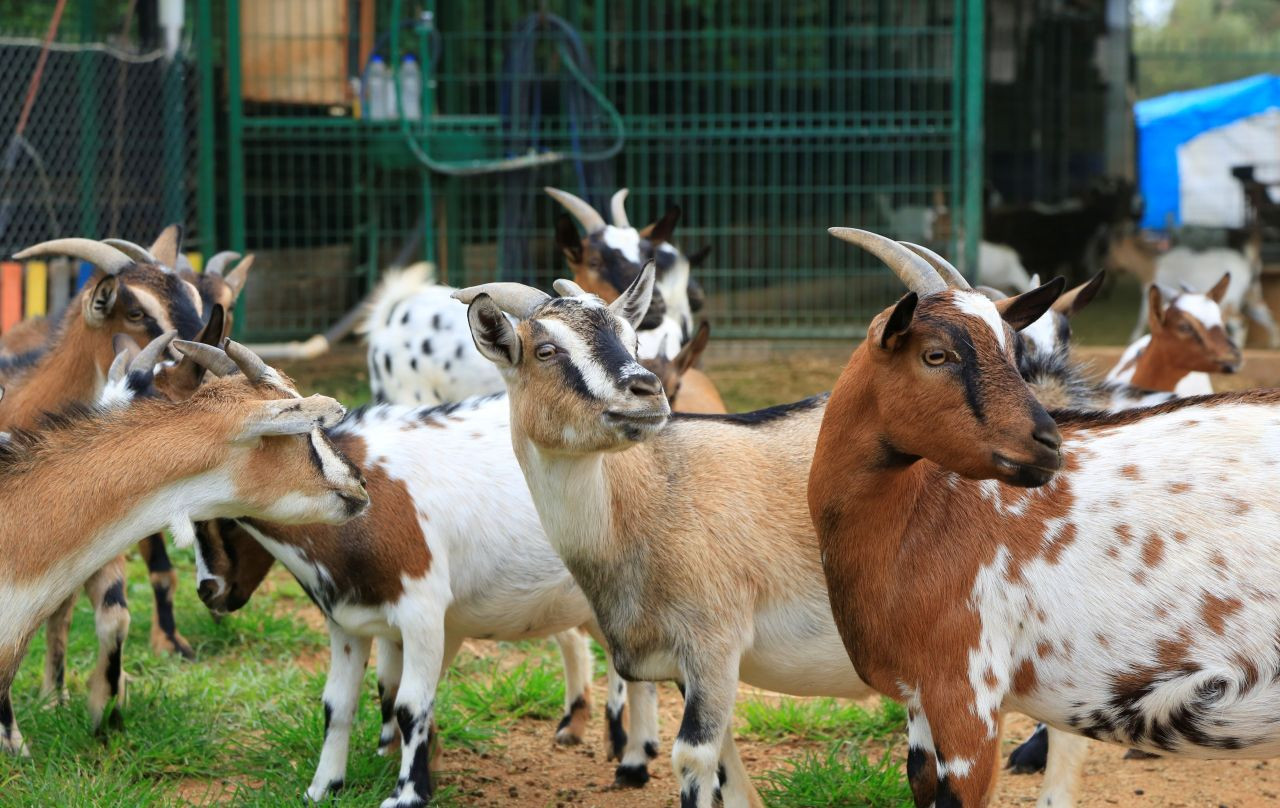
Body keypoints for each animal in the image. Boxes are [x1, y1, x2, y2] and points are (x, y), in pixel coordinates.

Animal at [180, 394, 665, 804]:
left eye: (224, 522)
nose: (209, 591)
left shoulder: (424, 613)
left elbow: (410, 705)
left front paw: (409, 793)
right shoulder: (348, 623)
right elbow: (340, 703)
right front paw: (324, 787)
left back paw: (633, 764)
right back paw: (628, 754)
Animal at [808, 229, 1280, 808]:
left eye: (1013, 351)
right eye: (935, 354)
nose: (1049, 443)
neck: (918, 517)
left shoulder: (967, 692)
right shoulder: (919, 700)